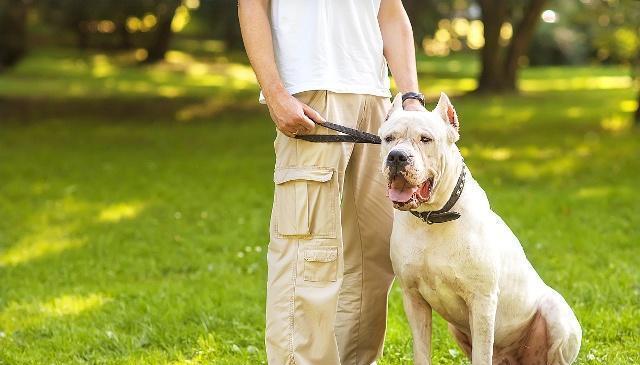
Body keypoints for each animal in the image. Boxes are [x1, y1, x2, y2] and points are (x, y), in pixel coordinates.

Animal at [378, 94, 584, 364]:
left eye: (425, 139)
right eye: (388, 138)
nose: (397, 156)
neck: (432, 219)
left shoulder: (482, 302)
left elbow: (482, 353)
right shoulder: (413, 299)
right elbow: (422, 352)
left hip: (556, 314)